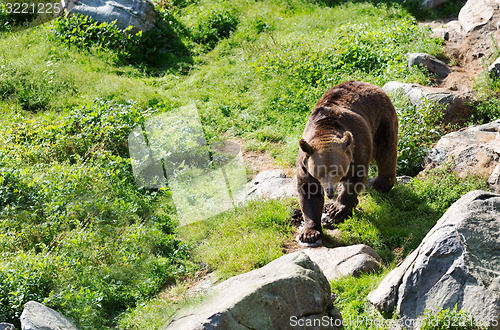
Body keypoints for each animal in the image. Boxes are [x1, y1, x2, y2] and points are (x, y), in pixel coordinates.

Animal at [296, 81, 398, 244]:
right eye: (320, 172)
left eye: (336, 171)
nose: (330, 191)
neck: (325, 131)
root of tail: (369, 83)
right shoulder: (305, 163)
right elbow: (309, 192)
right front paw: (309, 234)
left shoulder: (357, 149)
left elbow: (355, 179)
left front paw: (337, 209)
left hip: (382, 120)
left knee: (386, 152)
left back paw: (381, 184)